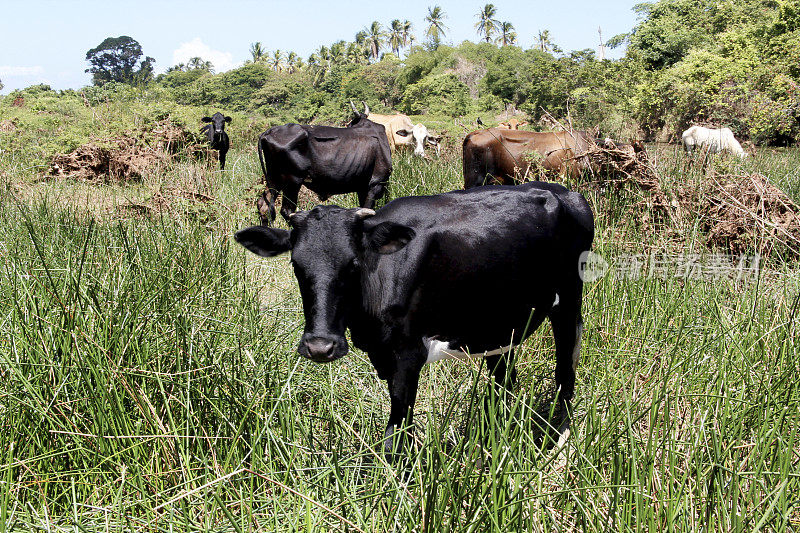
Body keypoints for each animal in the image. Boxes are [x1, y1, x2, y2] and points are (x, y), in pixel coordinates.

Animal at [234, 182, 592, 454]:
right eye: (296, 264)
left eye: (354, 263)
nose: (320, 346)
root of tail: (565, 192)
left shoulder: (409, 352)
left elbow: (395, 435)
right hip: (498, 321)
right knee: (505, 382)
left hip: (569, 301)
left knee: (566, 373)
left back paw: (559, 447)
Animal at [256, 102, 390, 224]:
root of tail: (268, 133)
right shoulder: (375, 184)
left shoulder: (362, 188)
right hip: (292, 181)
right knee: (287, 211)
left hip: (274, 178)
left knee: (264, 206)